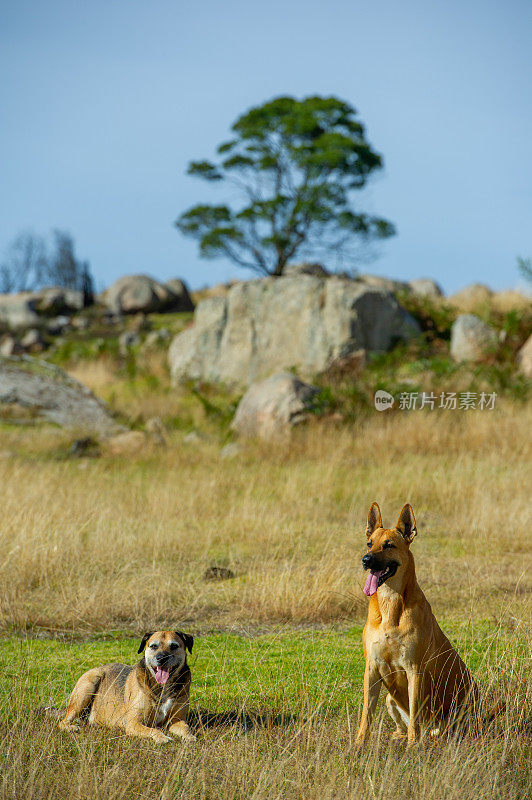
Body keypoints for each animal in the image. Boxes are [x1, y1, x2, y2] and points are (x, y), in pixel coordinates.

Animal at [58, 632, 195, 744]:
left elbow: (185, 728)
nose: (161, 658)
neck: (163, 687)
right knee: (62, 722)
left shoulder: (177, 720)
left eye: (174, 646)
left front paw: (190, 736)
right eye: (153, 646)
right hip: (88, 686)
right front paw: (162, 737)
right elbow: (152, 730)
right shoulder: (133, 723)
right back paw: (71, 727)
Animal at [356, 504, 480, 748]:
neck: (390, 606)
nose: (366, 560)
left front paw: (413, 747)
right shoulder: (372, 669)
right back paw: (397, 736)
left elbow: (415, 714)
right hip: (390, 699)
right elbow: (367, 714)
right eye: (369, 543)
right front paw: (358, 744)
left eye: (389, 545)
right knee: (401, 725)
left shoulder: (414, 669)